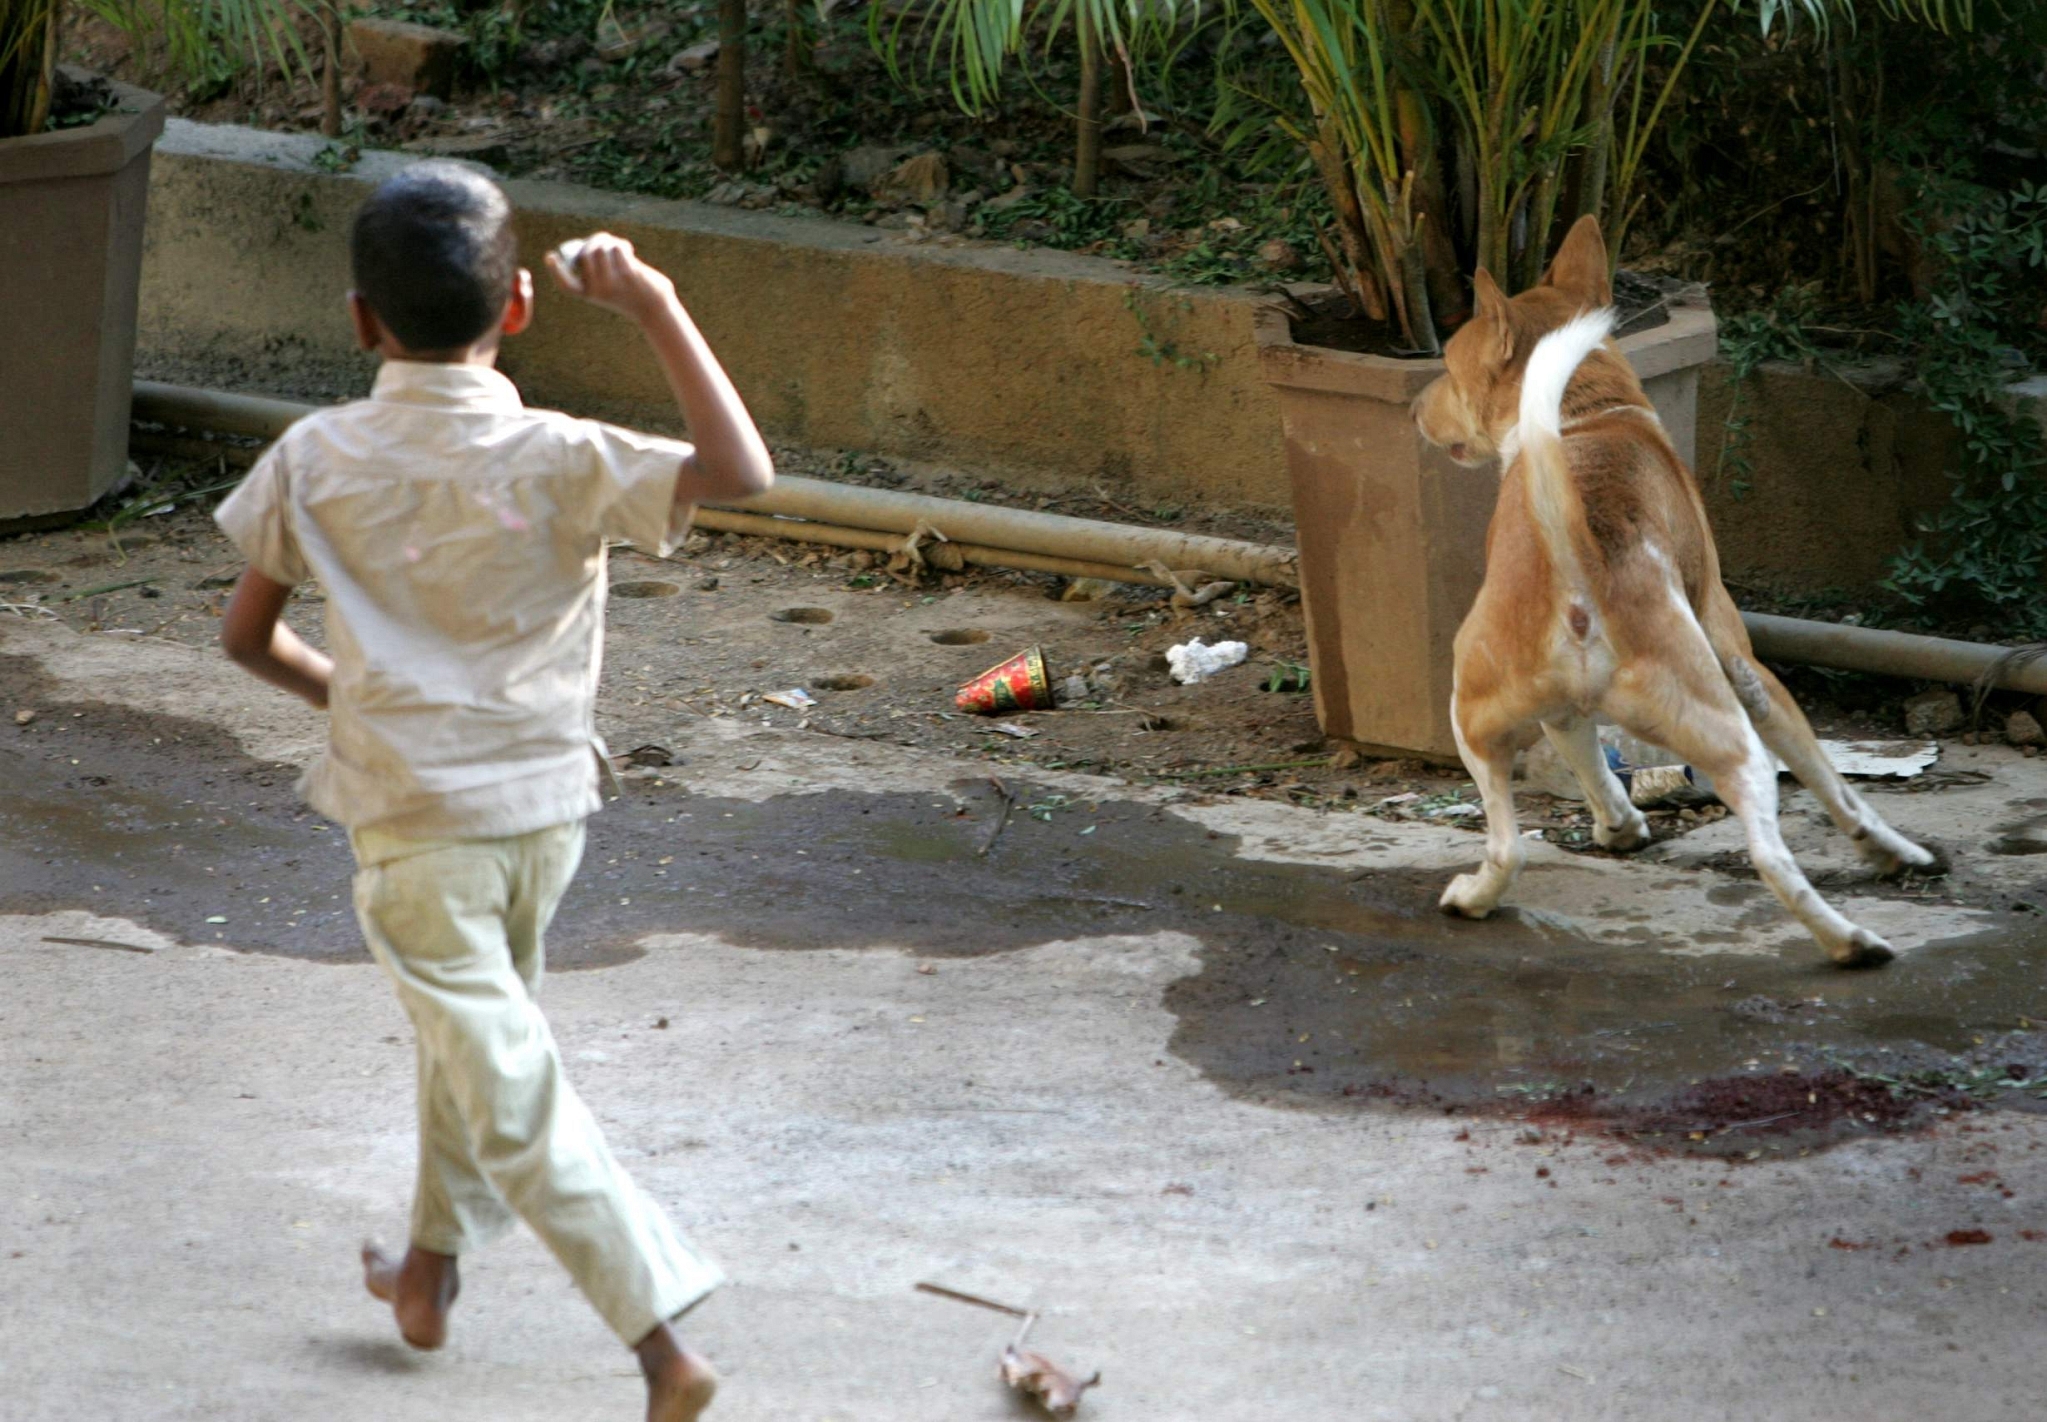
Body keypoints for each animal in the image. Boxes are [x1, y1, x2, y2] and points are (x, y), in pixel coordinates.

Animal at [1416, 213, 1924, 969]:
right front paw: (1895, 851)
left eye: (1448, 370)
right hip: (1732, 737)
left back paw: (1475, 897)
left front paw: (1620, 827)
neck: (1583, 417)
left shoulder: (1563, 717)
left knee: (1507, 847)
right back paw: (1850, 941)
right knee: (1770, 855)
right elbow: (1839, 790)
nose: (1414, 406)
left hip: (1473, 721)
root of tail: (1579, 577)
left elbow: (1594, 772)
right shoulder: (1750, 671)